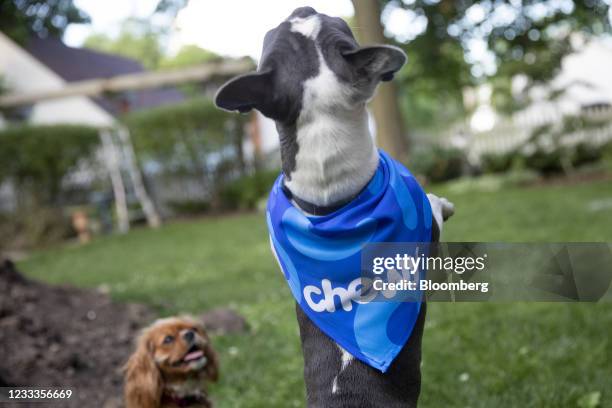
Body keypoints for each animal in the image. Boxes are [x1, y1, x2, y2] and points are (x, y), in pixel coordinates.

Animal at [215, 7, 454, 406]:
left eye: (270, 35)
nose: (303, 8)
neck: (334, 205)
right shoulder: (427, 232)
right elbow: (434, 207)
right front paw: (444, 202)